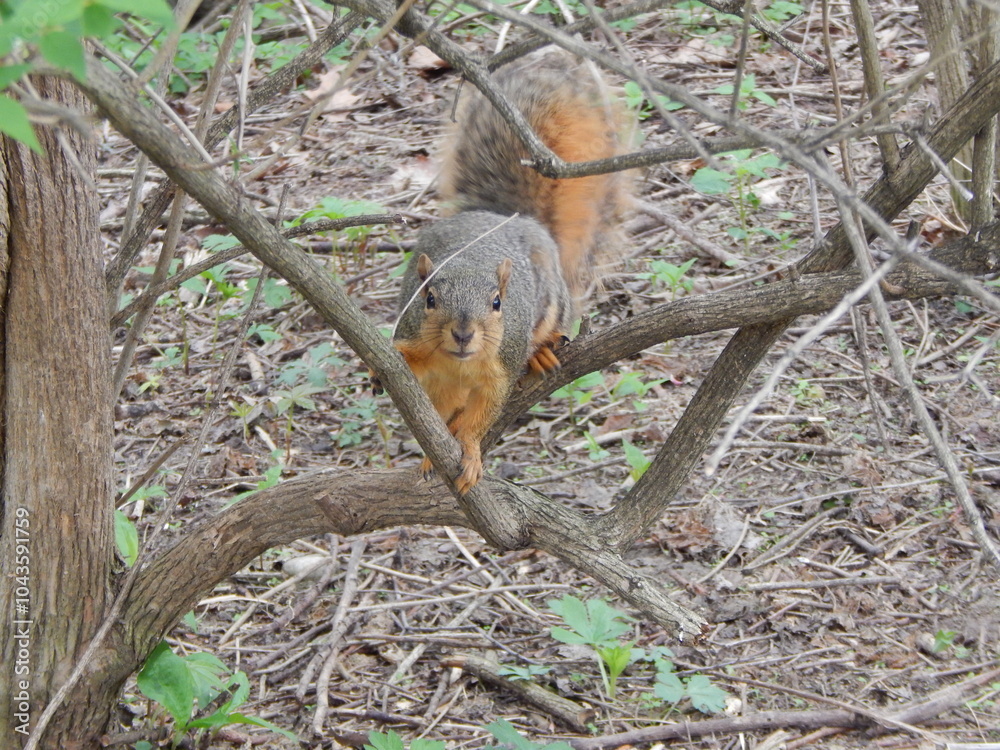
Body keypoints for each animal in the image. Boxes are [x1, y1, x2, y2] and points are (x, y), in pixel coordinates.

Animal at [375, 49, 632, 495]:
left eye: (498, 303)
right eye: (429, 298)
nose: (463, 333)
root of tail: (511, 218)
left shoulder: (500, 370)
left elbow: (481, 419)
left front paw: (471, 452)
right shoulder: (425, 361)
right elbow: (427, 403)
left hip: (552, 301)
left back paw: (543, 352)